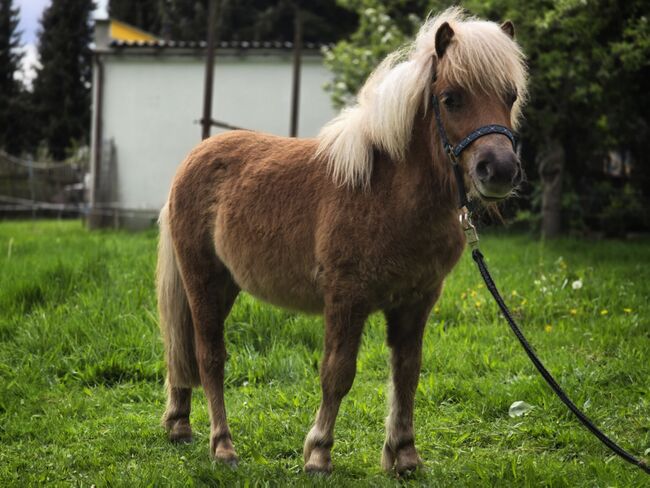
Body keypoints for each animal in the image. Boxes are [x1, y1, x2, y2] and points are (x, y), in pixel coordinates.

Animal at [156, 5, 528, 474]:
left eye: (510, 96)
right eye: (451, 98)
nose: (499, 170)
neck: (386, 193)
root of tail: (193, 160)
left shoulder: (416, 302)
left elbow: (407, 372)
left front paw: (404, 455)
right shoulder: (346, 298)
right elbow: (337, 373)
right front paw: (318, 453)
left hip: (223, 286)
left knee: (184, 349)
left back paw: (179, 425)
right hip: (202, 281)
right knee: (209, 357)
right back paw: (222, 446)